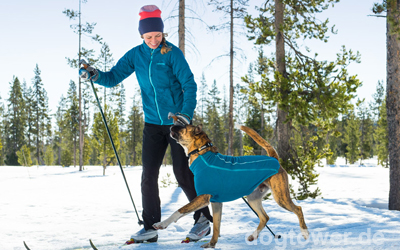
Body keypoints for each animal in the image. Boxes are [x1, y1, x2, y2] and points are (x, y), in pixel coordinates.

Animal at [153, 122, 310, 248]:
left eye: (183, 126)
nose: (171, 125)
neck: (202, 154)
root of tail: (274, 158)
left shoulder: (203, 198)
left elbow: (180, 210)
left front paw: (161, 224)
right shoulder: (216, 202)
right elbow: (216, 226)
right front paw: (211, 244)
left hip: (280, 196)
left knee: (298, 209)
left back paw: (305, 233)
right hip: (253, 198)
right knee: (265, 217)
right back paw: (253, 236)